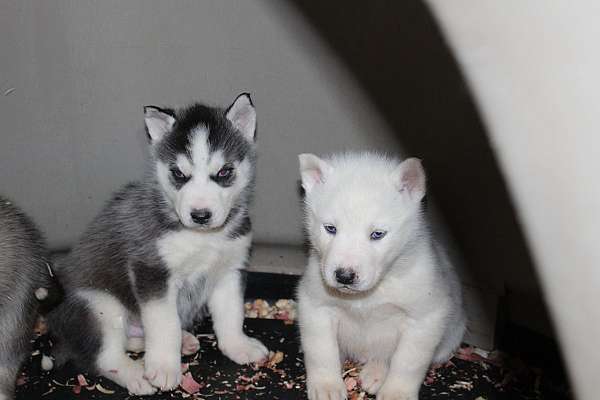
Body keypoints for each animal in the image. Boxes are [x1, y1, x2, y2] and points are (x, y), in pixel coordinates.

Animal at [48, 95, 268, 396]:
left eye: (224, 172)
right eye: (178, 173)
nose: (200, 215)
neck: (202, 237)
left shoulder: (230, 271)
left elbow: (231, 315)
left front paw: (238, 346)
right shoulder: (152, 272)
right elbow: (165, 325)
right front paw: (164, 367)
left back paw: (178, 342)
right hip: (98, 304)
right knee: (105, 357)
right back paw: (136, 375)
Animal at [298, 153, 466, 400]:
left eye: (377, 234)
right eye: (330, 228)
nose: (344, 276)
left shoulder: (426, 317)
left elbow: (407, 362)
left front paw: (397, 392)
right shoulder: (315, 305)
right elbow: (321, 350)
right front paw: (326, 385)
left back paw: (376, 373)